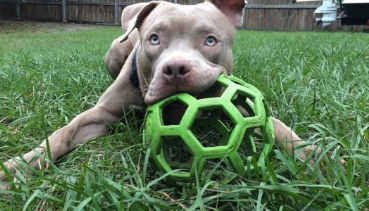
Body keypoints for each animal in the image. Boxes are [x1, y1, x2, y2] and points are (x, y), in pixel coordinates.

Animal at [0, 0, 322, 185]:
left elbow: (275, 125)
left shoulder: (237, 103)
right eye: (154, 39)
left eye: (210, 40)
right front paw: (20, 166)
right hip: (114, 53)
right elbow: (63, 133)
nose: (176, 68)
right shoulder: (100, 114)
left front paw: (312, 154)